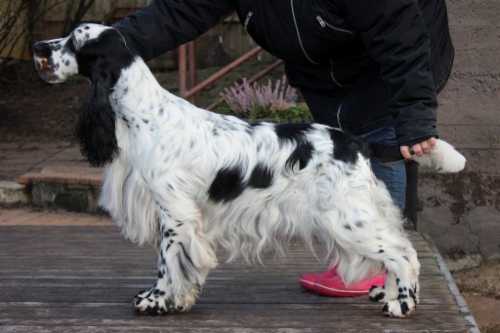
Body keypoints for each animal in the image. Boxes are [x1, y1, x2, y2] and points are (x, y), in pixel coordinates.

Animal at [33, 23, 466, 316]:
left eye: (73, 41)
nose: (38, 46)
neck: (143, 112)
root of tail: (355, 142)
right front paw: (173, 299)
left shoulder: (175, 212)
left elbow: (167, 260)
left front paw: (157, 300)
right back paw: (388, 294)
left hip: (347, 217)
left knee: (403, 253)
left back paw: (401, 304)